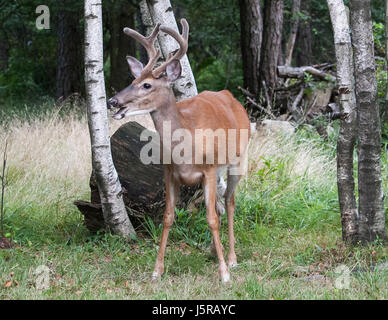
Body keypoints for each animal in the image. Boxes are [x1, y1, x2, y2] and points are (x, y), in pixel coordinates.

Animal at [107, 19, 250, 282]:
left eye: (147, 84)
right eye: (132, 81)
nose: (113, 101)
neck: (185, 150)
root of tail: (229, 96)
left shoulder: (209, 168)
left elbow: (211, 219)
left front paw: (224, 273)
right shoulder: (169, 172)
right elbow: (168, 217)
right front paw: (157, 270)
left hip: (238, 159)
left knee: (230, 201)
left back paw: (232, 258)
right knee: (220, 205)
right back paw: (213, 251)